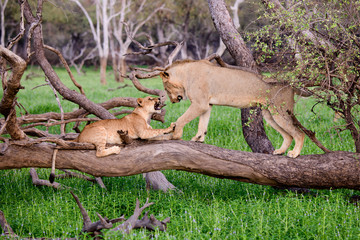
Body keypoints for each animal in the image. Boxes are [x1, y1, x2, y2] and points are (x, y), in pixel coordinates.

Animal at [162, 59, 306, 158]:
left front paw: (176, 134)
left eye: (166, 88)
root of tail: (290, 85)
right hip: (269, 115)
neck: (185, 75)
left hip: (280, 111)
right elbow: (202, 124)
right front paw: (198, 138)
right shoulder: (206, 105)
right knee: (288, 135)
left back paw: (294, 153)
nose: (173, 101)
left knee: (299, 133)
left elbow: (182, 119)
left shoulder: (199, 103)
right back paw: (280, 151)